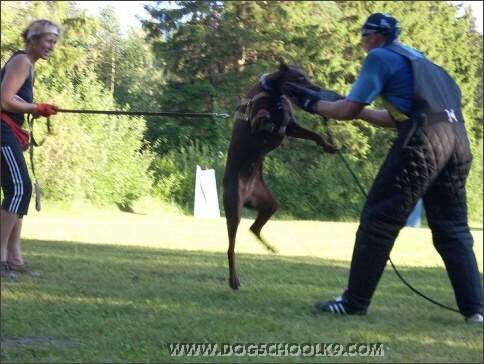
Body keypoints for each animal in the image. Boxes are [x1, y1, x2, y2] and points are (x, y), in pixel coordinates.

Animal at [222, 60, 336, 290]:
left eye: (306, 75)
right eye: (300, 77)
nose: (317, 88)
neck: (274, 96)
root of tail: (247, 193)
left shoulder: (290, 126)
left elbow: (314, 134)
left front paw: (328, 146)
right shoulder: (255, 124)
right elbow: (258, 118)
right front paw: (264, 115)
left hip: (268, 202)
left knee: (254, 228)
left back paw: (270, 247)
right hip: (234, 207)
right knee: (231, 247)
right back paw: (234, 280)